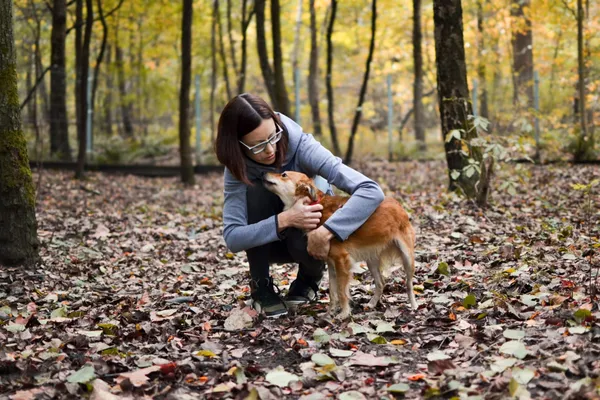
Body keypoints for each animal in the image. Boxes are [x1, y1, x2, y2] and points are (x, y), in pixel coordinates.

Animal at [262, 172, 418, 318]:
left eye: (283, 174)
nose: (263, 173)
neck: (315, 206)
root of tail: (397, 204)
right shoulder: (331, 264)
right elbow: (333, 292)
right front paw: (329, 312)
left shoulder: (341, 261)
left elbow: (342, 291)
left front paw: (343, 314)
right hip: (371, 260)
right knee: (381, 283)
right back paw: (372, 304)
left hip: (407, 257)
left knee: (409, 284)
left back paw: (414, 305)